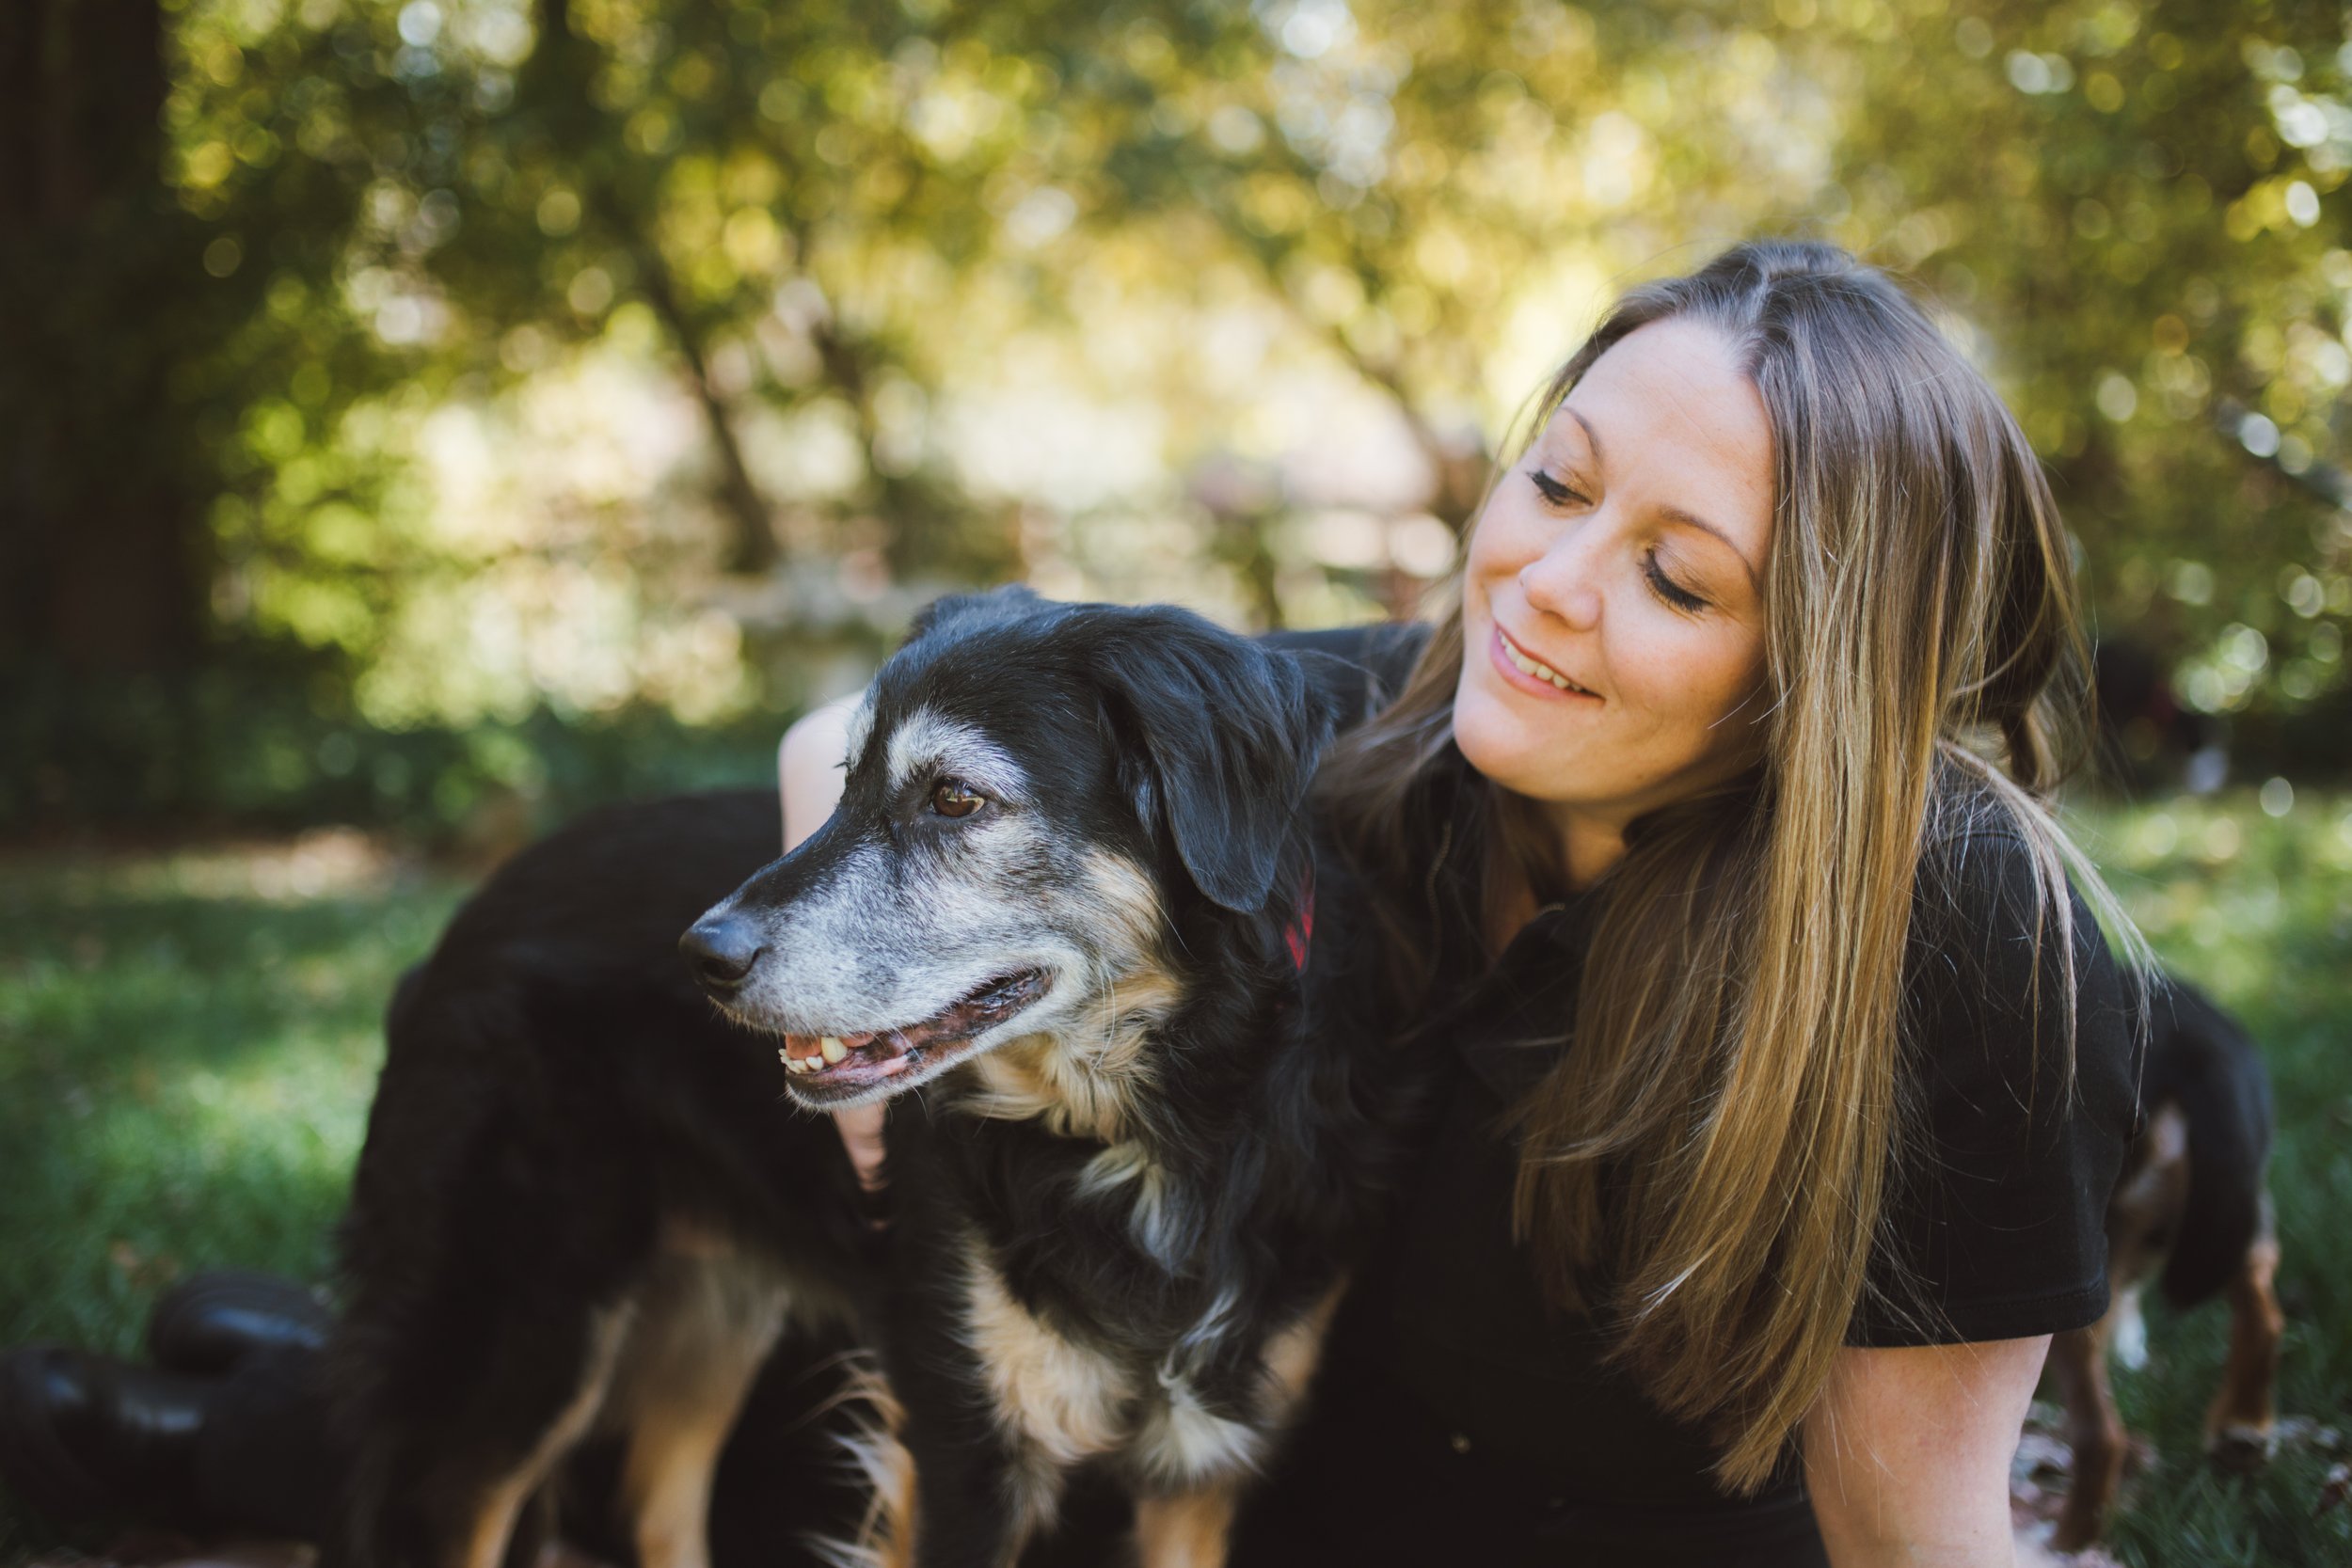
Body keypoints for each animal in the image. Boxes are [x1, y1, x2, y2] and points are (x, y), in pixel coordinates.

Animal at [325, 594, 1421, 1568]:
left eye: (956, 797)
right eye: (843, 783)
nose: (703, 957)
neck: (1145, 1130)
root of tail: (463, 923)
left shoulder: (1202, 1464)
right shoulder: (959, 1445)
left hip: (711, 1309)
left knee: (655, 1511)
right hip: (524, 1332)